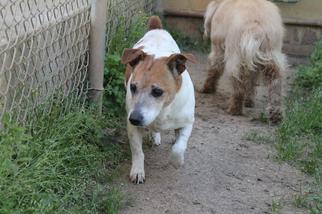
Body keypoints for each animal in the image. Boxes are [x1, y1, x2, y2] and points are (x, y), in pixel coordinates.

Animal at [121, 16, 196, 184]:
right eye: (133, 87)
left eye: (157, 91)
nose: (134, 118)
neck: (162, 111)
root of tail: (157, 29)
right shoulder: (132, 127)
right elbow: (137, 151)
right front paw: (138, 171)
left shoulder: (187, 123)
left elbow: (178, 147)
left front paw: (177, 161)